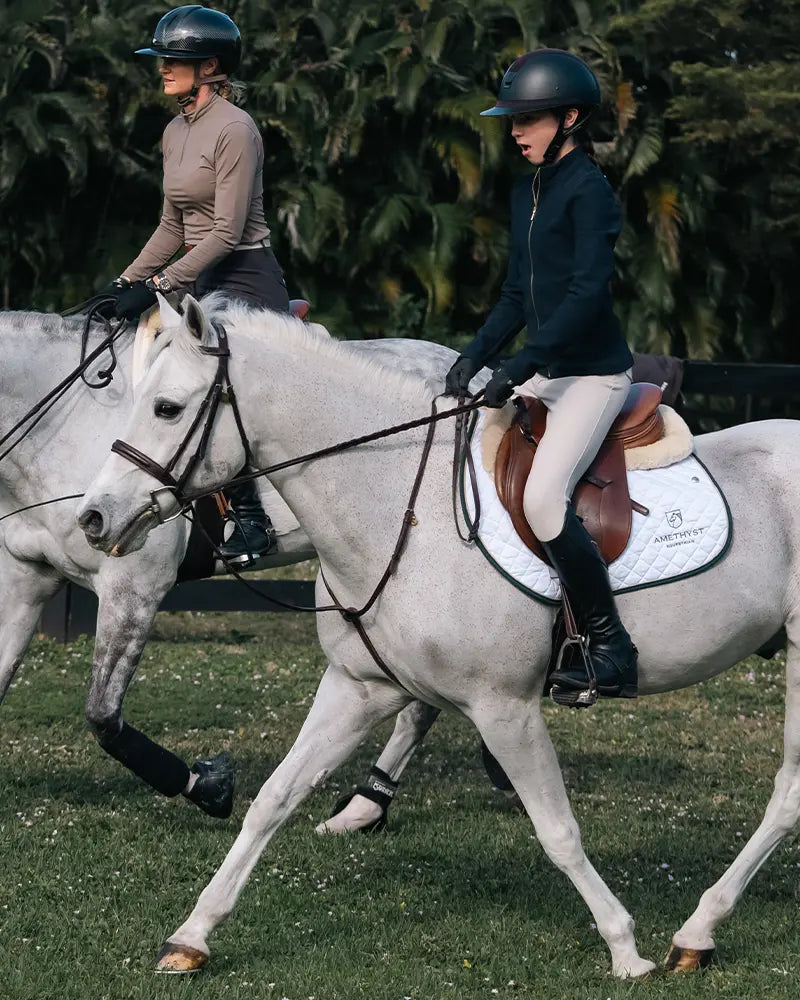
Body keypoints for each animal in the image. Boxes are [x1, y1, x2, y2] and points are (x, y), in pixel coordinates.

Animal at [78, 292, 800, 976]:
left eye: (167, 408)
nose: (92, 518)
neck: (401, 505)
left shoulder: (503, 708)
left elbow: (558, 831)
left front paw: (624, 949)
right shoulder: (358, 687)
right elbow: (274, 798)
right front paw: (191, 937)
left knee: (786, 794)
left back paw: (695, 931)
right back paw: (698, 934)